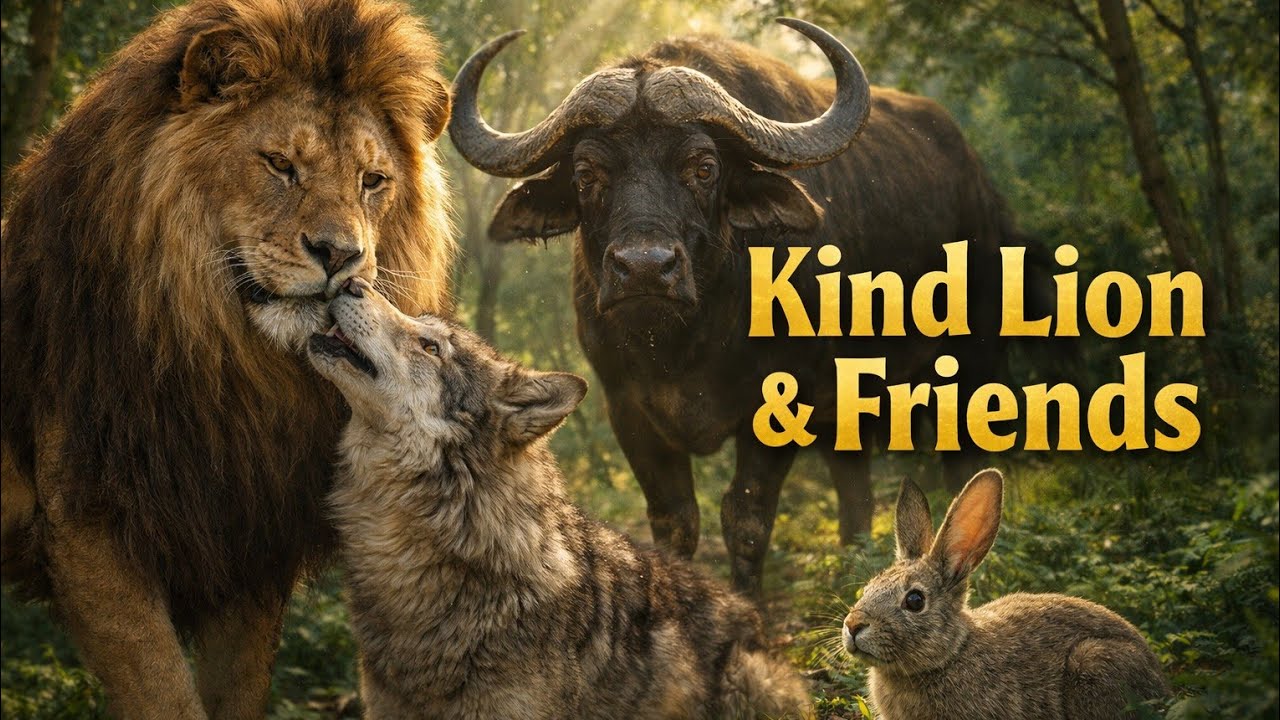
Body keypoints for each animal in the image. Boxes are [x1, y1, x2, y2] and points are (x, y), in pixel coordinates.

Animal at [0, 1, 454, 717]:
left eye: (372, 181)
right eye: (279, 164)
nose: (341, 256)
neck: (228, 365)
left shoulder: (250, 540)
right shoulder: (86, 530)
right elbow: (166, 696)